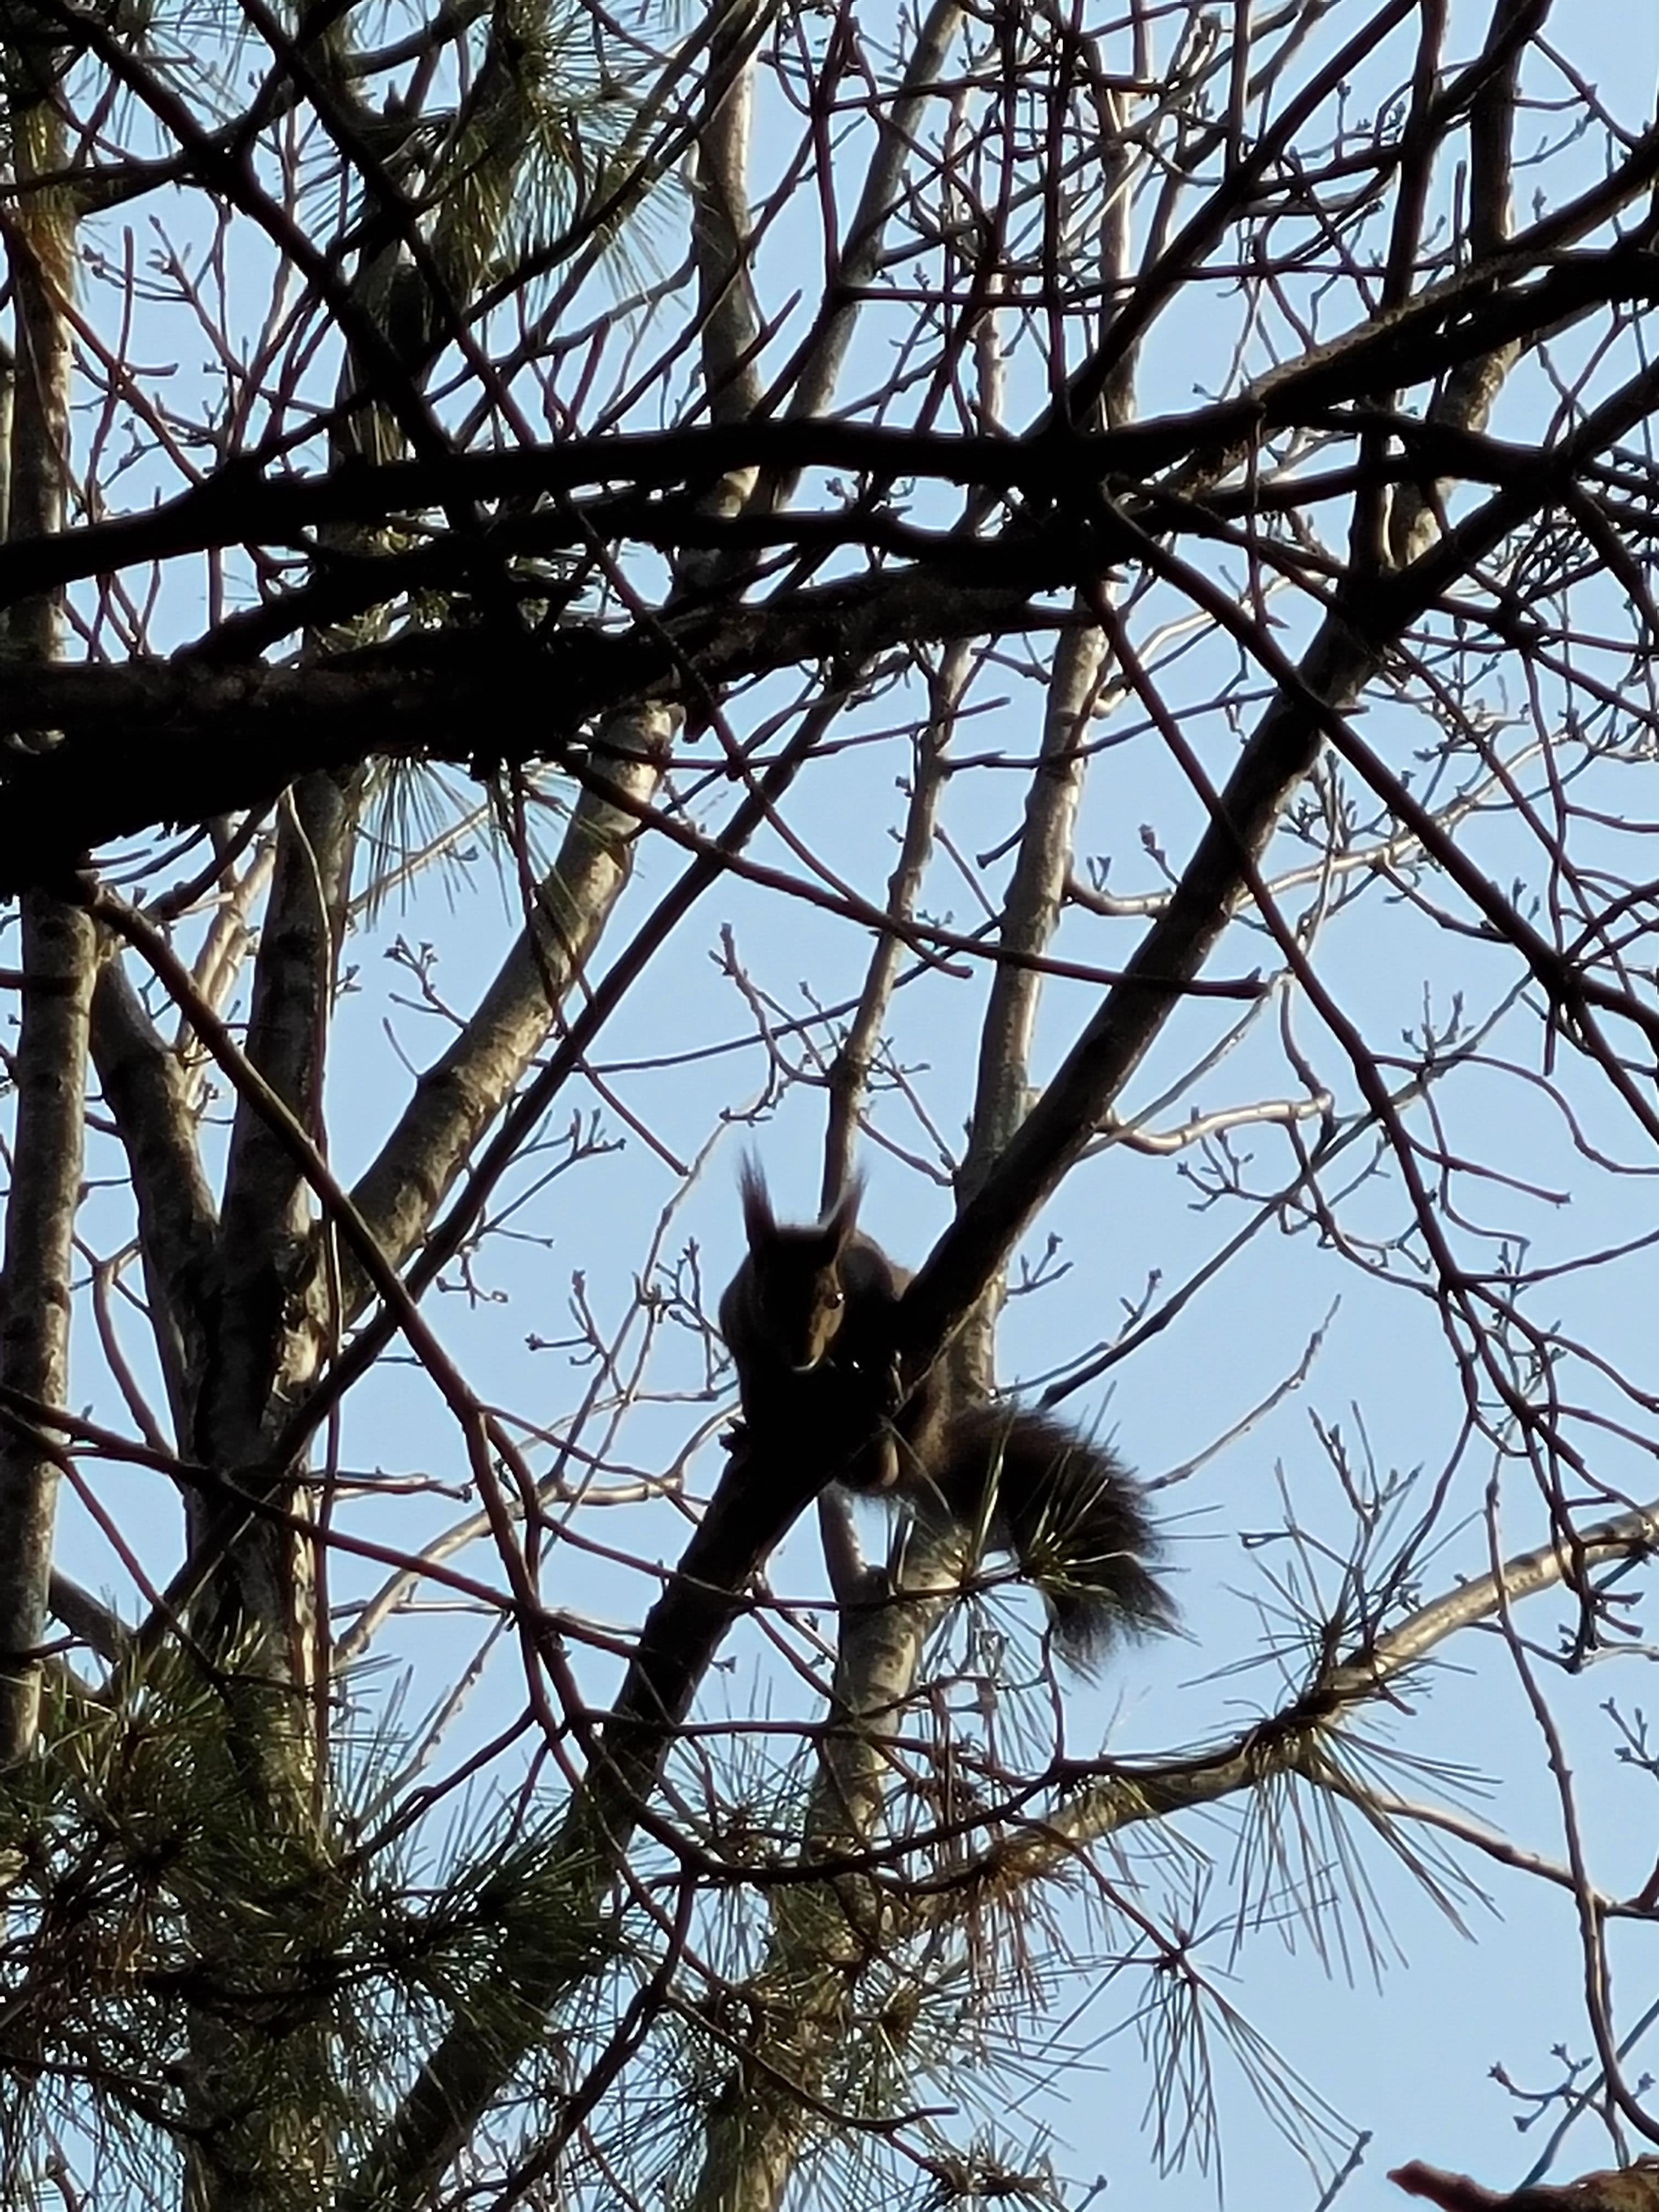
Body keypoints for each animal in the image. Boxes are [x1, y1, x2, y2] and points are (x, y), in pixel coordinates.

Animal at [718, 1165, 1174, 1669]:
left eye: (835, 1298)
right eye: (765, 1297)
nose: (804, 1351)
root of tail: (930, 1448)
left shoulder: (875, 1283)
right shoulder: (743, 1344)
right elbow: (760, 1396)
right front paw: (755, 1434)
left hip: (928, 1391)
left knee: (884, 1465)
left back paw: (881, 1437)